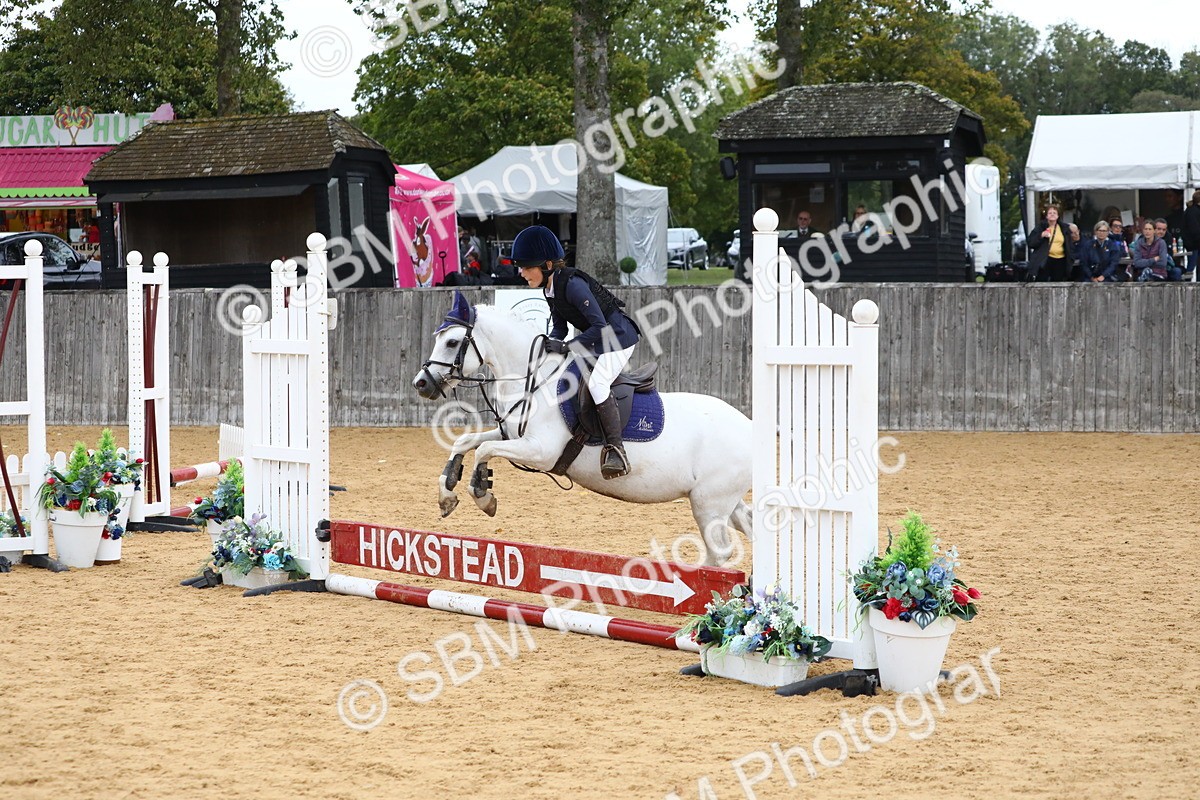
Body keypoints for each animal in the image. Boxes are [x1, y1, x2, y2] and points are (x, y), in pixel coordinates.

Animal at [412, 293, 753, 566]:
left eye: (452, 342)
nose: (421, 383)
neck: (535, 378)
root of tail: (750, 426)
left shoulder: (541, 451)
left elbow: (483, 450)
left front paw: (483, 495)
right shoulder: (515, 435)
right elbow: (467, 442)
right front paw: (447, 494)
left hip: (709, 503)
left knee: (719, 553)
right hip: (723, 501)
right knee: (748, 527)